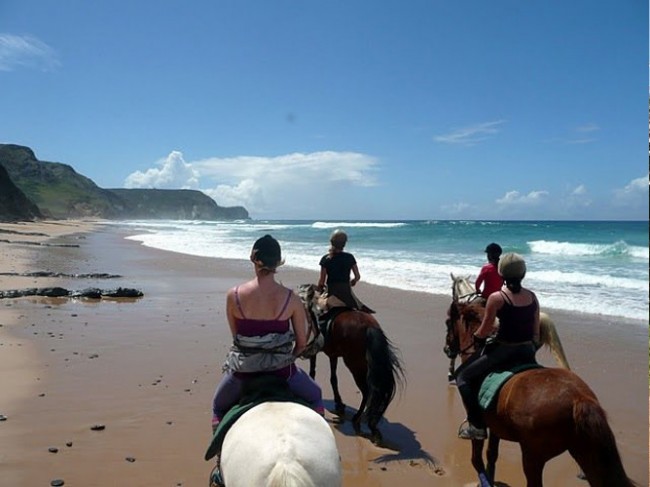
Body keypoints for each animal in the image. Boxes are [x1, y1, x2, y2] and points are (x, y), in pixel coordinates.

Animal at [296, 282, 402, 446]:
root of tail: (369, 327)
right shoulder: (333, 354)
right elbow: (333, 378)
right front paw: (339, 404)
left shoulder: (320, 352)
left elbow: (316, 373)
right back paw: (370, 425)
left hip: (354, 364)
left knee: (366, 391)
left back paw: (358, 419)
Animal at [442, 300, 636, 486]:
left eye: (448, 323)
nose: (446, 349)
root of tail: (579, 398)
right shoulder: (495, 425)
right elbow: (492, 455)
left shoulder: (480, 422)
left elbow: (477, 460)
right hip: (586, 455)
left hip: (533, 458)